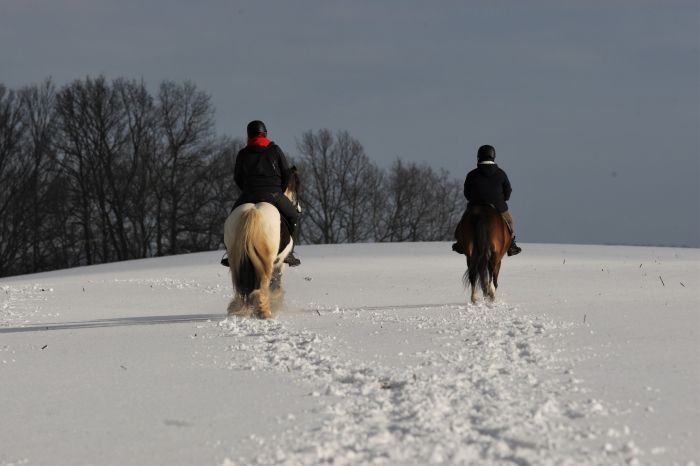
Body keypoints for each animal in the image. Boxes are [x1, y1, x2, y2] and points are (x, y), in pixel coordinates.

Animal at [224, 169, 298, 318]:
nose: (299, 208)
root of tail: (252, 211)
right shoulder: (280, 263)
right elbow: (276, 283)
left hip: (236, 259)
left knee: (241, 287)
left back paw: (239, 309)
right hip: (266, 262)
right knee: (262, 286)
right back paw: (264, 311)